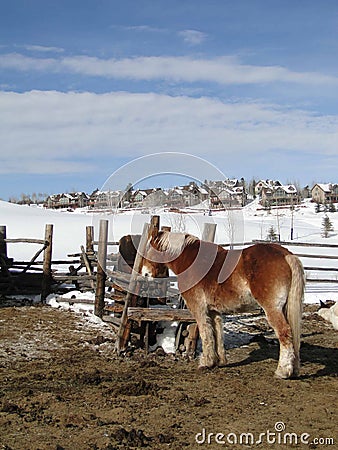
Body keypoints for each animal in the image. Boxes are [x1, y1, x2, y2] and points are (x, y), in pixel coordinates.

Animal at [140, 230, 304, 378]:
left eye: (149, 250)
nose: (145, 274)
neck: (191, 262)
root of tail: (286, 255)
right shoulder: (214, 311)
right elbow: (217, 333)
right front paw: (219, 361)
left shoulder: (199, 309)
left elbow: (206, 333)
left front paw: (206, 363)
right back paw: (294, 369)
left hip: (272, 309)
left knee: (285, 333)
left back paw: (283, 371)